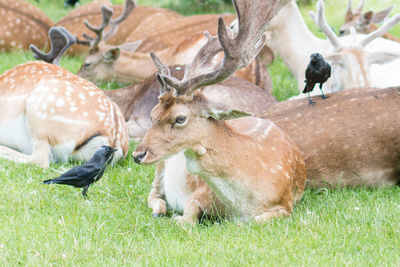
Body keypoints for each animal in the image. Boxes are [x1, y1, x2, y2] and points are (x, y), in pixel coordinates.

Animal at [131, 0, 306, 225]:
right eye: (153, 115)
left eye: (180, 118)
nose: (138, 154)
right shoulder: (199, 193)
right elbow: (187, 219)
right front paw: (178, 218)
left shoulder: (285, 204)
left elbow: (253, 221)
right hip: (161, 167)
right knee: (154, 195)